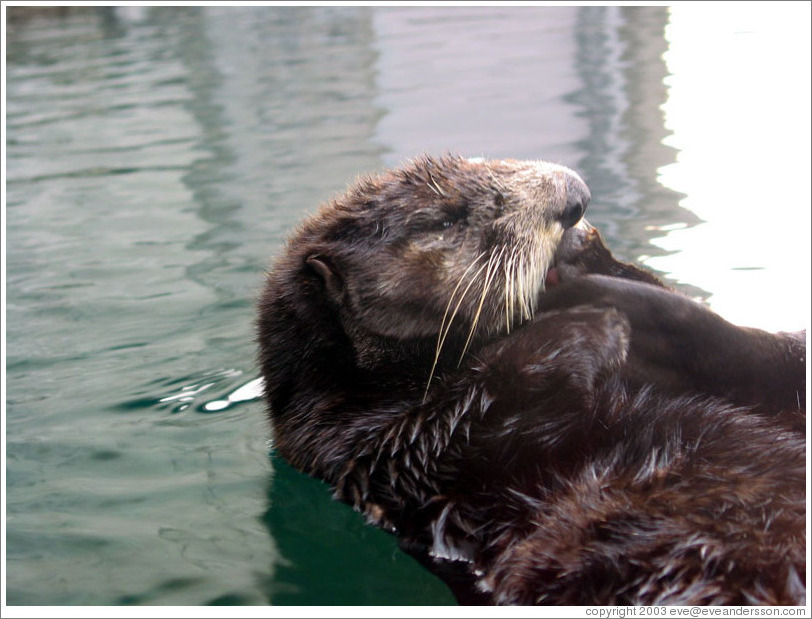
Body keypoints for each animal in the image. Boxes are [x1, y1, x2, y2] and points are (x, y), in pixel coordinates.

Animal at [258, 154, 804, 604]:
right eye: (445, 219)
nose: (575, 197)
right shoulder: (361, 455)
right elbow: (444, 428)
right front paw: (593, 326)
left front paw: (594, 267)